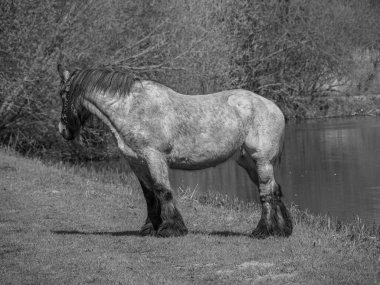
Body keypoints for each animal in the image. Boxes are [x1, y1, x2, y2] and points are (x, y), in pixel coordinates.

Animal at [57, 63, 294, 237]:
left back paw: (263, 231)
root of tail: (274, 107)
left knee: (266, 193)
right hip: (248, 162)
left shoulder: (154, 157)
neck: (133, 108)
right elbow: (150, 194)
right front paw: (151, 227)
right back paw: (281, 230)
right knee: (274, 190)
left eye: (62, 94)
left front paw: (171, 228)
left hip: (262, 161)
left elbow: (163, 190)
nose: (62, 130)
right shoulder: (137, 162)